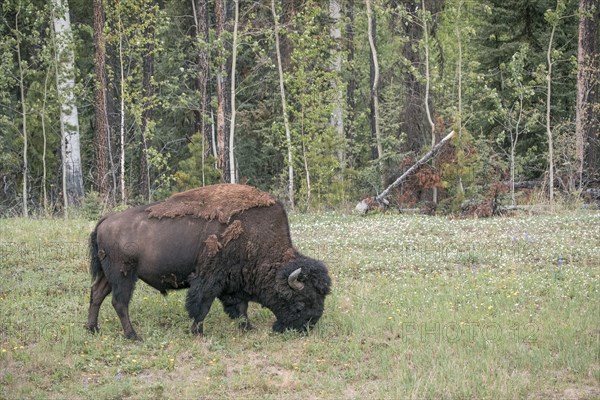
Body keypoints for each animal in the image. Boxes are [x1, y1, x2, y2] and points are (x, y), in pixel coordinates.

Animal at [84, 183, 330, 340]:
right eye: (301, 303)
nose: (307, 327)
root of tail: (106, 220)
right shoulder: (209, 279)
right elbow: (202, 306)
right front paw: (197, 332)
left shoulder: (233, 282)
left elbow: (240, 307)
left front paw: (247, 328)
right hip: (124, 275)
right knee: (119, 302)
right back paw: (133, 336)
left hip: (108, 275)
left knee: (97, 294)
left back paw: (92, 329)